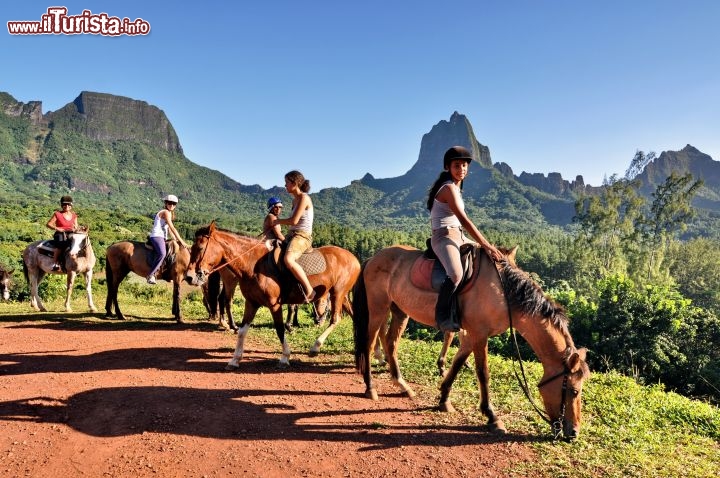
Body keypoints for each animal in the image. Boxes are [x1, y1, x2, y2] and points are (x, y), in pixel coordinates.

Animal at [186, 221, 360, 366]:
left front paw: (285, 357)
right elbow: (242, 331)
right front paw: (235, 359)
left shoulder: (274, 304)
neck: (254, 265)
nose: (189, 277)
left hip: (338, 293)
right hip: (342, 294)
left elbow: (280, 329)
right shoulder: (251, 303)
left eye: (200, 248)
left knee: (336, 319)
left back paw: (315, 346)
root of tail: (354, 258)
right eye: (191, 249)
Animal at [350, 246, 592, 440]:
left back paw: (402, 385)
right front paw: (491, 416)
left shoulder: (470, 336)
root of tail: (373, 258)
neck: (504, 293)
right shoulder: (479, 334)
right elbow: (483, 373)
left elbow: (457, 365)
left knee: (391, 343)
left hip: (399, 310)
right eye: (574, 391)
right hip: (378, 307)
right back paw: (370, 387)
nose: (574, 433)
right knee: (369, 345)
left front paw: (444, 399)